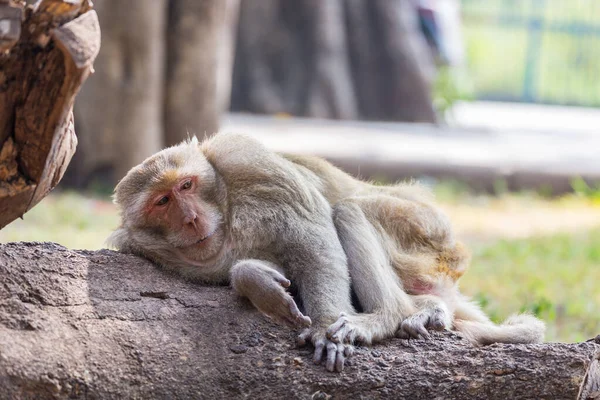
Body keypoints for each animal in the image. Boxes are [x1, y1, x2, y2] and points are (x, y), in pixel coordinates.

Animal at [110, 132, 548, 372]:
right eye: (162, 202)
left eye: (186, 185)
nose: (190, 218)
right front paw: (259, 283)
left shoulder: (251, 164)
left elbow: (315, 243)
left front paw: (323, 326)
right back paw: (428, 310)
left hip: (428, 233)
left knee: (350, 211)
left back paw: (386, 317)